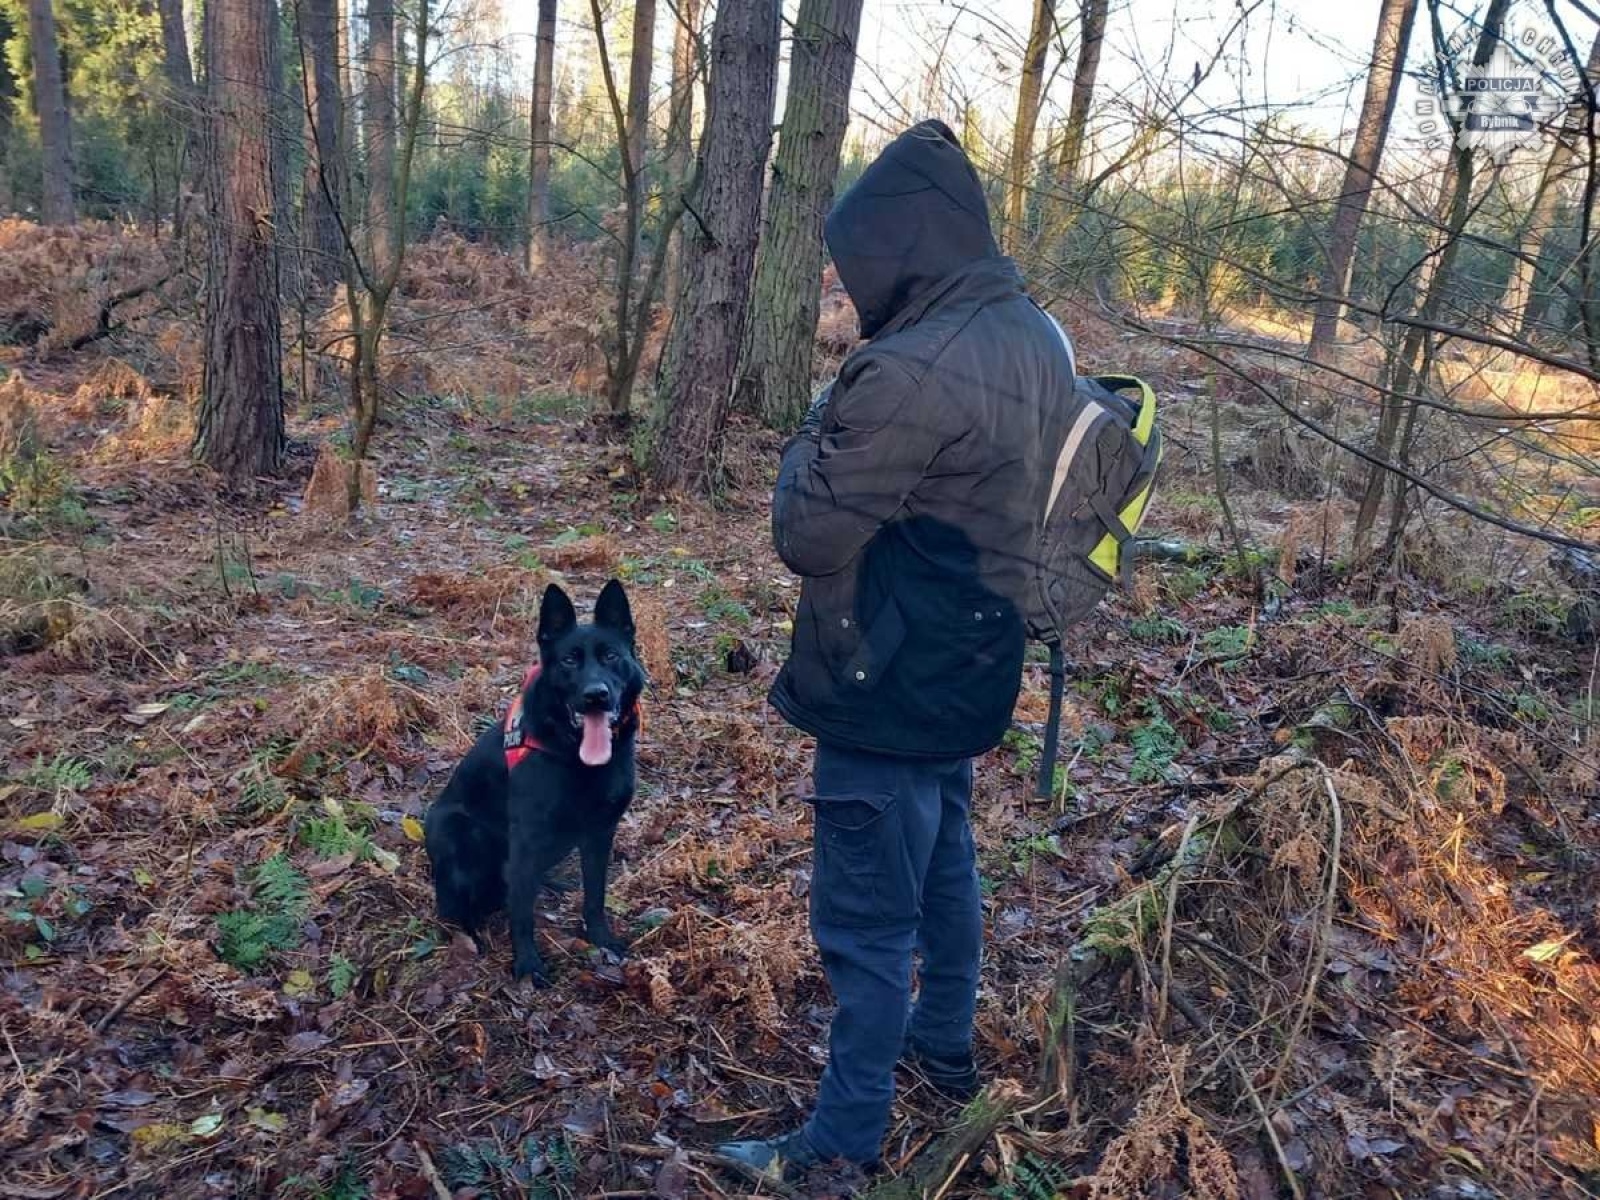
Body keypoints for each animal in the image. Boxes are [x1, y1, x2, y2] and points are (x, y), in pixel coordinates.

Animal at [424, 580, 645, 983]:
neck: (577, 758)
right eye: (569, 660)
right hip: (456, 831)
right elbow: (522, 914)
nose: (596, 695)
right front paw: (527, 964)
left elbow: (595, 896)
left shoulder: (600, 834)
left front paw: (601, 938)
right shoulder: (526, 841)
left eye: (610, 656)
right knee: (453, 906)